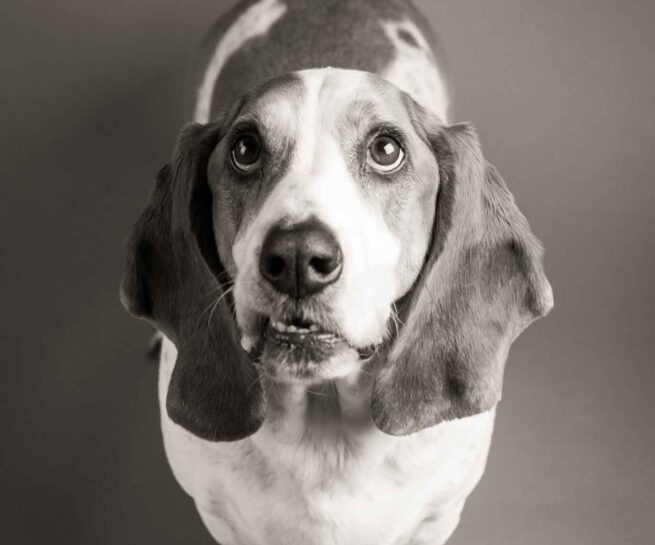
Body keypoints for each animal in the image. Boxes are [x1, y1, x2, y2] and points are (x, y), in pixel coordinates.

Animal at [120, 2, 552, 540]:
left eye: (387, 150)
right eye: (245, 149)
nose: (297, 259)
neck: (325, 426)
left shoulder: (439, 515)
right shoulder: (218, 515)